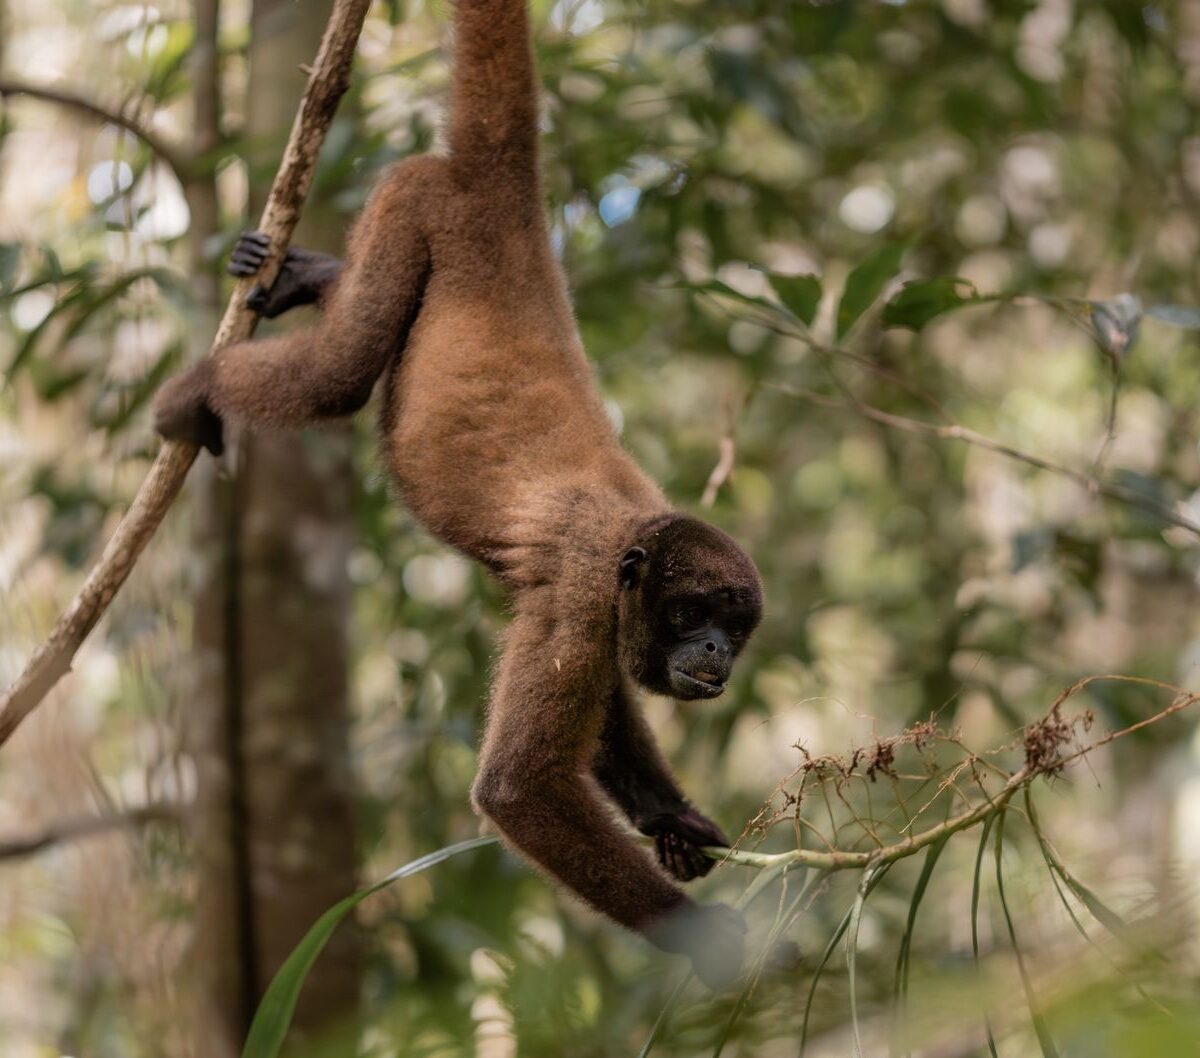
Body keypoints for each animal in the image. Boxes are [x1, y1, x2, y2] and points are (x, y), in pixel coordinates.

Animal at [154, 0, 764, 989]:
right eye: (692, 615)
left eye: (735, 628)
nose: (714, 650)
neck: (639, 529)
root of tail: (502, 191)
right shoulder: (588, 587)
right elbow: (517, 790)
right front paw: (698, 934)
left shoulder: (606, 607)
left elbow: (604, 717)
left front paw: (671, 819)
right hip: (417, 200)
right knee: (339, 371)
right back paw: (197, 388)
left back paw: (308, 275)